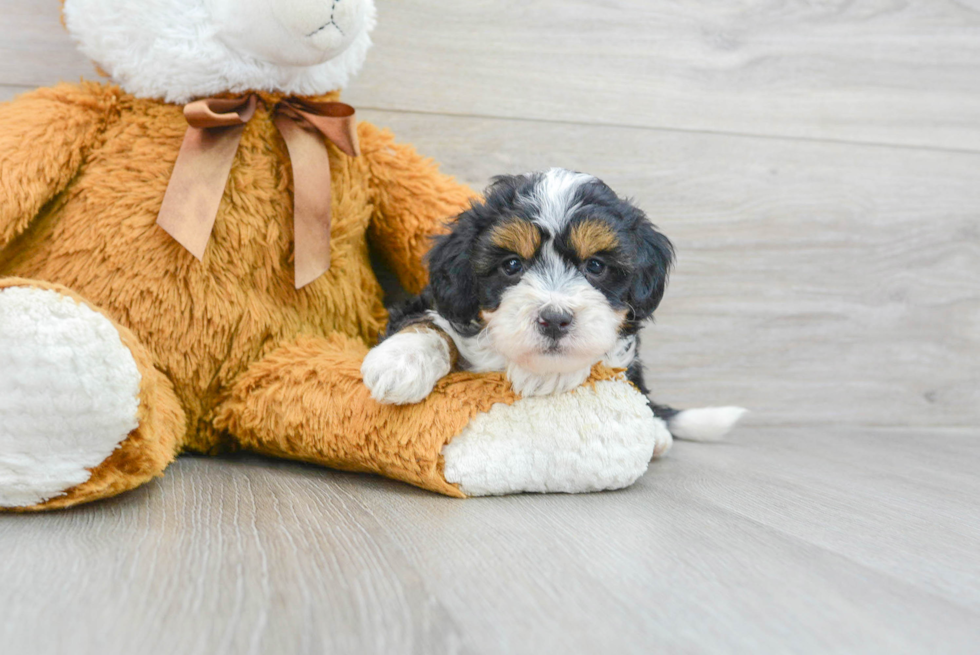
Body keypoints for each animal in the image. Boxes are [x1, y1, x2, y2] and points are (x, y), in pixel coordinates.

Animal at [364, 169, 748, 444]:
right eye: (512, 265)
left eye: (595, 266)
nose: (554, 320)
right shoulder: (437, 299)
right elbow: (427, 322)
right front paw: (398, 363)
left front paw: (551, 374)